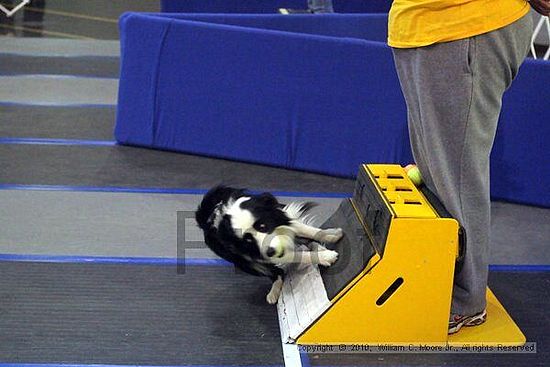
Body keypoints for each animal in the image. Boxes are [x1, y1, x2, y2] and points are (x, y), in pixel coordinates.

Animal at [197, 187, 344, 304]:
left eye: (263, 226)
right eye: (248, 240)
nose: (270, 251)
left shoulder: (281, 217)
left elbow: (308, 231)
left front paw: (332, 235)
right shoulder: (258, 254)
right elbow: (301, 256)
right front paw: (326, 257)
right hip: (246, 262)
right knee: (276, 272)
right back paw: (274, 291)